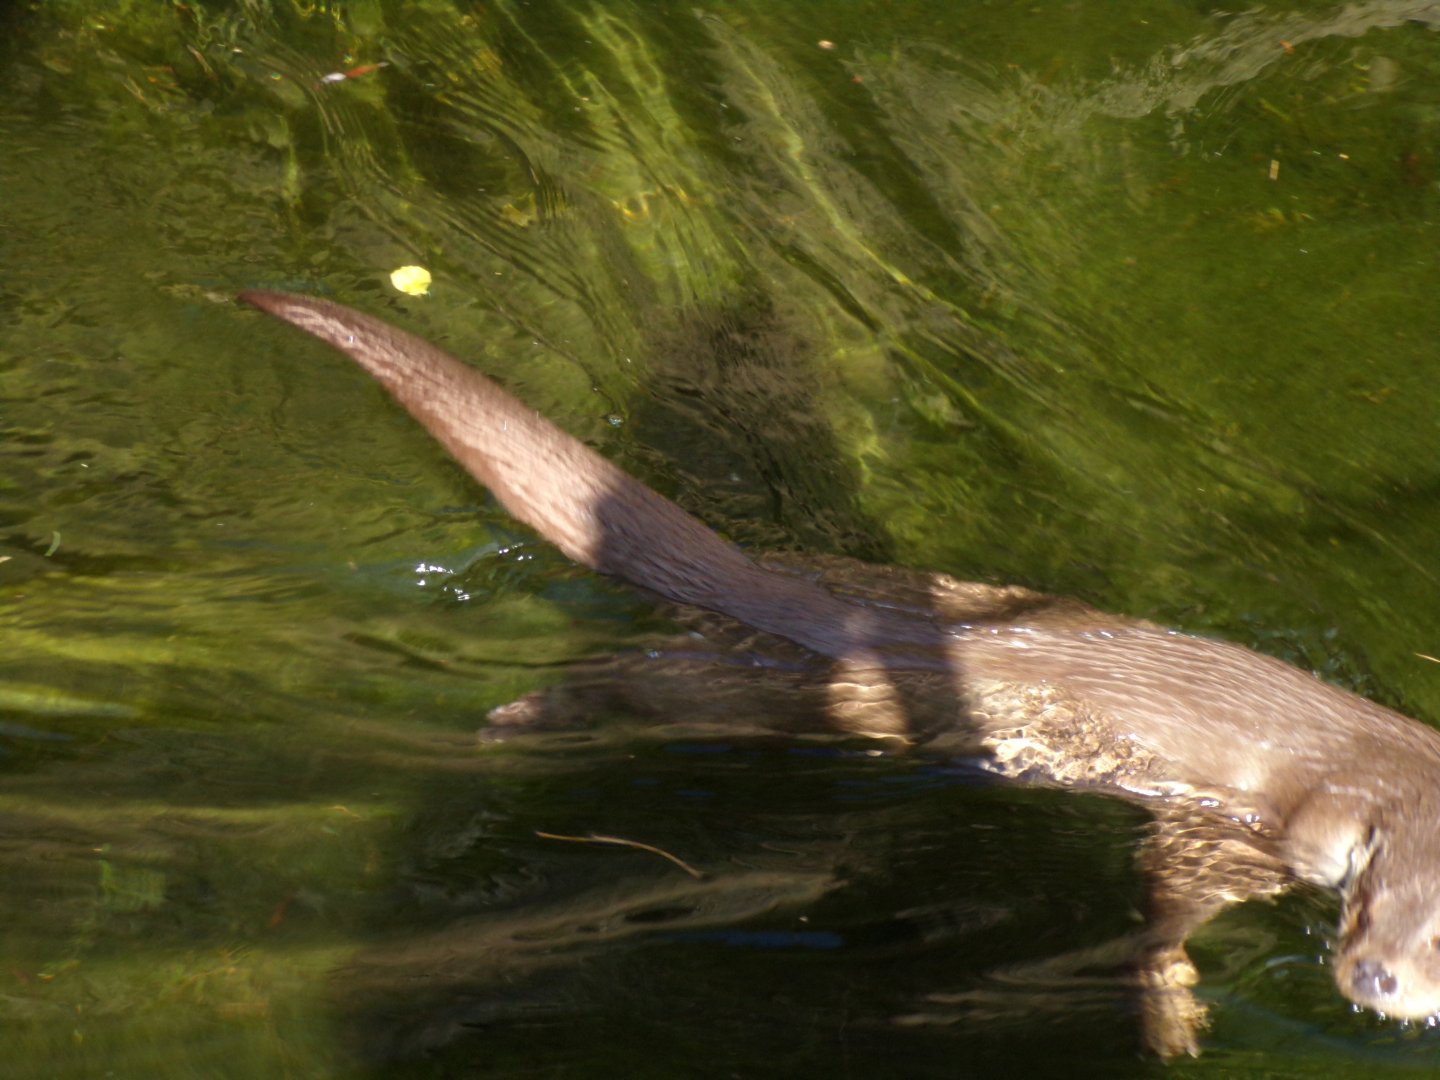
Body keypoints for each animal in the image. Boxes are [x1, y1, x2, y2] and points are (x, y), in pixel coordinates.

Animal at [240, 289, 1440, 1055]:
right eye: (1368, 908)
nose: (1379, 983)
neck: (1376, 773)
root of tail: (796, 590)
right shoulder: (1246, 828)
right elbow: (1162, 909)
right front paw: (1173, 1014)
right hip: (801, 698)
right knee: (641, 681)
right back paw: (517, 716)